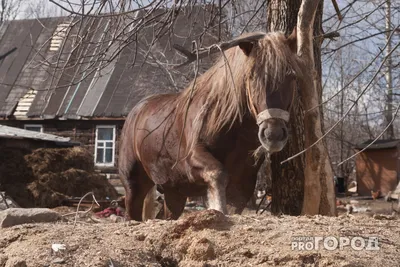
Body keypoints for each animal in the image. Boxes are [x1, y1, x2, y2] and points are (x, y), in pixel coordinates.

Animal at [119, 29, 304, 222]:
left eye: (291, 76)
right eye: (252, 76)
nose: (273, 134)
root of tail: (134, 113)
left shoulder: (244, 183)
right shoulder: (193, 159)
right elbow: (218, 173)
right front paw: (216, 210)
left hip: (174, 193)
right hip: (134, 185)